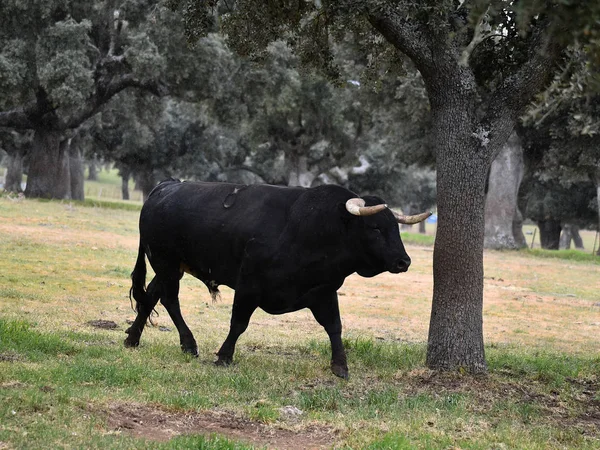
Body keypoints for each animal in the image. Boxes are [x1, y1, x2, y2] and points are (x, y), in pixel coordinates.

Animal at [124, 178, 428, 378]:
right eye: (375, 228)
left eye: (395, 227)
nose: (404, 261)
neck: (313, 229)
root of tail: (166, 186)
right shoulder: (248, 285)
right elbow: (238, 323)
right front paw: (224, 356)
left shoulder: (323, 290)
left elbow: (334, 327)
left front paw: (340, 366)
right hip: (165, 261)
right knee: (169, 299)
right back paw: (188, 343)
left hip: (170, 266)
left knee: (151, 295)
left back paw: (133, 339)